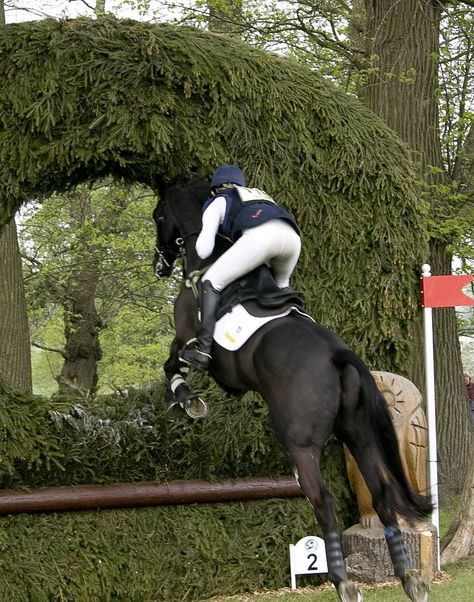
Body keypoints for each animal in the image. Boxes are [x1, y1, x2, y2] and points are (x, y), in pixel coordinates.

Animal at [153, 176, 434, 600]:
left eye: (158, 216)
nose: (159, 265)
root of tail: (336, 353)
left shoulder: (186, 334)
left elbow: (174, 362)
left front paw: (185, 400)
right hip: (360, 435)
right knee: (382, 497)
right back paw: (409, 578)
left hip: (300, 444)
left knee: (324, 501)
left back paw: (344, 582)